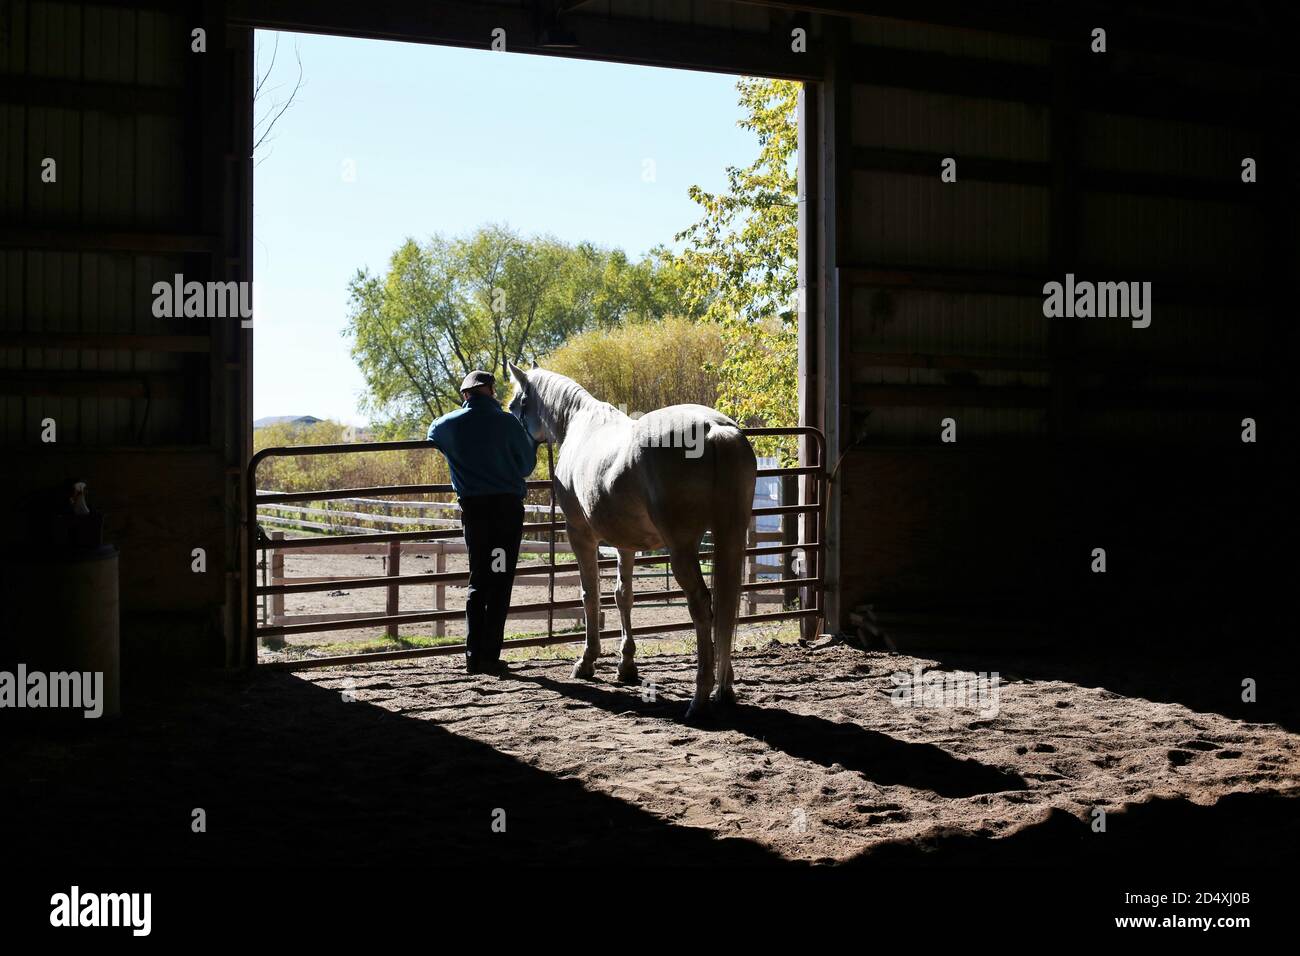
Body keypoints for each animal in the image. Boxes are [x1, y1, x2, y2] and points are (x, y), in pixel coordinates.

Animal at [504, 361, 759, 723]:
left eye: (515, 404)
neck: (578, 425)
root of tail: (714, 430)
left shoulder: (580, 534)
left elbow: (590, 595)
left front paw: (587, 661)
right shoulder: (625, 543)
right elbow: (623, 596)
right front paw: (626, 665)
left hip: (682, 548)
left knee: (702, 605)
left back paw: (699, 697)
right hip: (732, 537)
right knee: (726, 607)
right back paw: (725, 687)